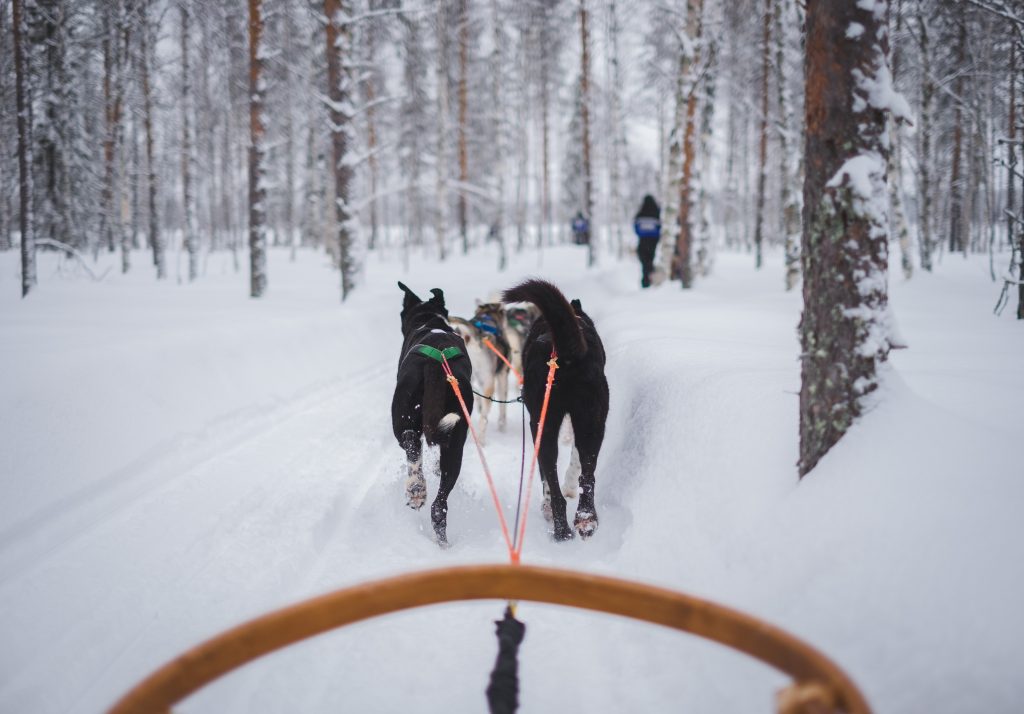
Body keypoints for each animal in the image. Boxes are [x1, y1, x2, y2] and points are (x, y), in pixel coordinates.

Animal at [389, 280, 473, 544]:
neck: (429, 321)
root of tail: (436, 364)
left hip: (404, 418)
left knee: (411, 444)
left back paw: (416, 489)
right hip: (455, 439)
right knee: (439, 506)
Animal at [503, 278, 606, 540]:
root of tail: (562, 351)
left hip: (545, 425)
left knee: (553, 480)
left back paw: (561, 527)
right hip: (591, 422)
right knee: (587, 477)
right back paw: (582, 521)